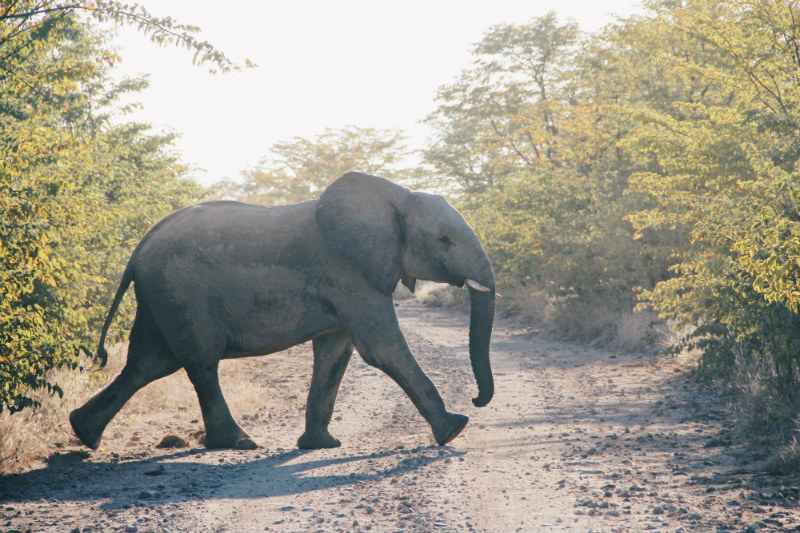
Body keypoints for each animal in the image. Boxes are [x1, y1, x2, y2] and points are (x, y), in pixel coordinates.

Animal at [69, 171, 494, 448]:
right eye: (444, 240)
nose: (477, 399)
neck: (397, 195)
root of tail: (138, 249)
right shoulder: (350, 273)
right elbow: (383, 350)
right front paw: (455, 429)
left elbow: (335, 354)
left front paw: (321, 446)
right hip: (180, 291)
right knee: (199, 361)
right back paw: (238, 443)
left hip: (160, 297)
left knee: (148, 364)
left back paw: (84, 435)